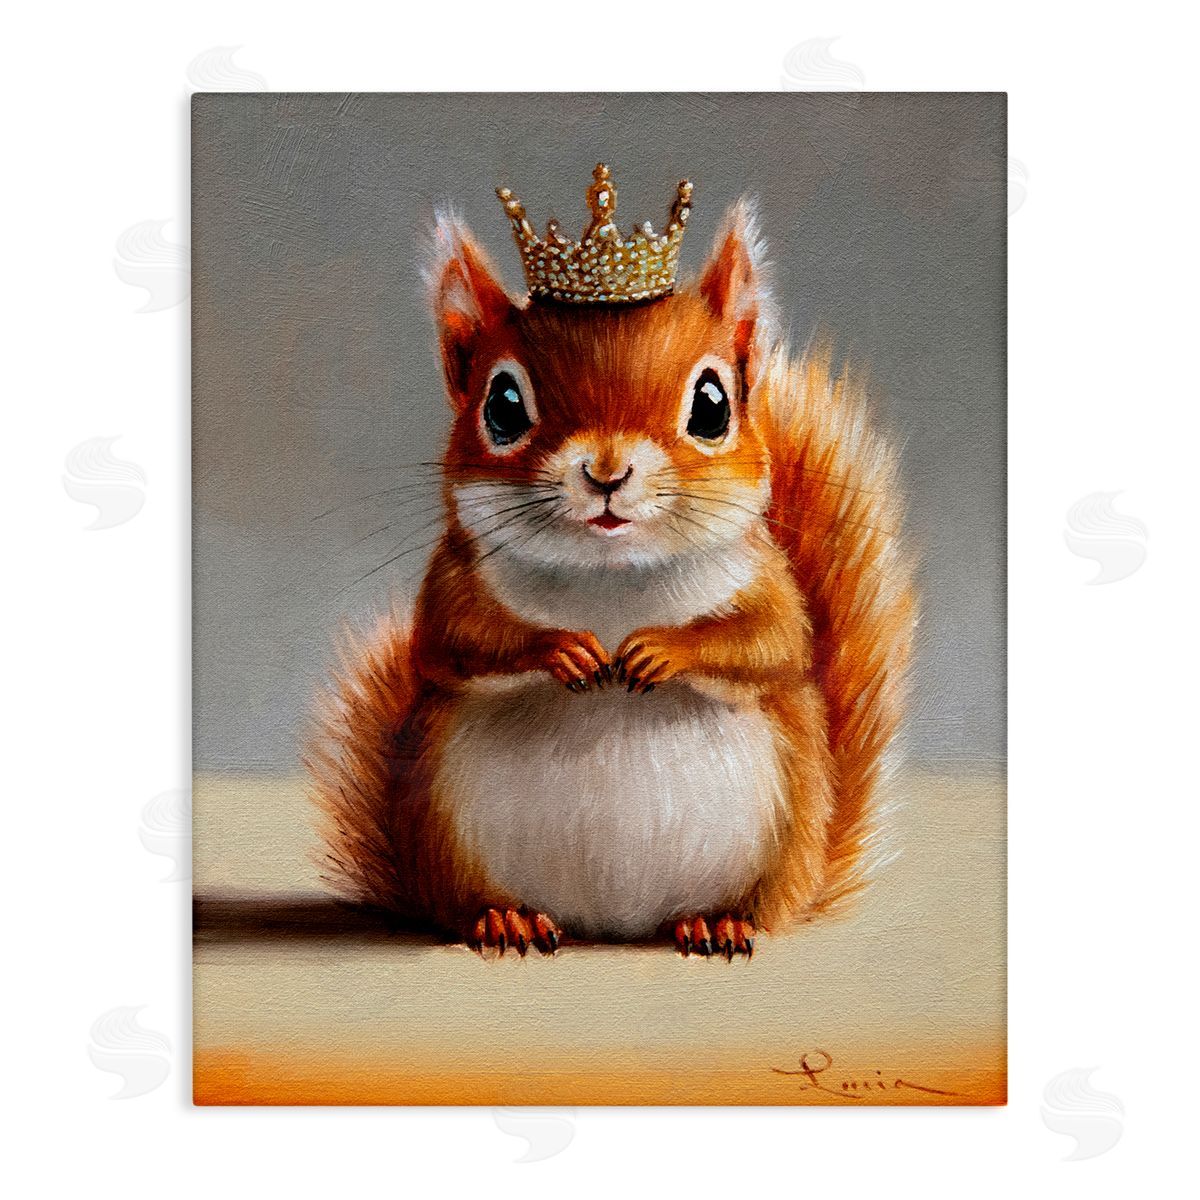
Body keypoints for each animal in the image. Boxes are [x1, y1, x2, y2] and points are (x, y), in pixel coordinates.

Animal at [308, 167, 915, 958]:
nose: (606, 472)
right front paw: (562, 649)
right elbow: (452, 640)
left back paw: (719, 922)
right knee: (467, 904)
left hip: (784, 838)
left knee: (757, 906)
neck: (612, 577)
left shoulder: (768, 581)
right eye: (502, 405)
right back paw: (504, 918)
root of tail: (613, 924)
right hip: (440, 827)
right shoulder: (452, 581)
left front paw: (662, 650)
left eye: (713, 404)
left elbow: (772, 641)